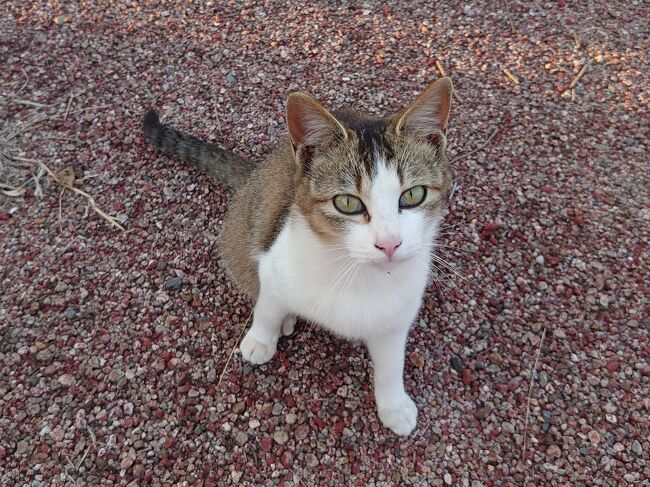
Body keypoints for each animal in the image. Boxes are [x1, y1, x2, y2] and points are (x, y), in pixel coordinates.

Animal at [144, 78, 454, 436]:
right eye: (347, 203)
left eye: (413, 195)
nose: (389, 243)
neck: (357, 272)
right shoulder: (274, 264)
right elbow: (267, 308)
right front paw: (260, 339)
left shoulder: (396, 315)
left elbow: (391, 363)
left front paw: (394, 405)